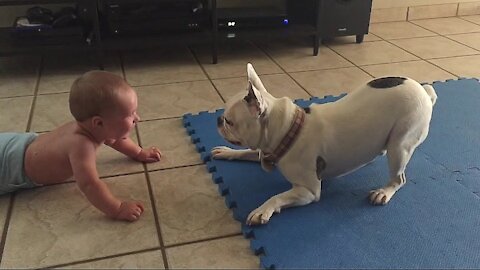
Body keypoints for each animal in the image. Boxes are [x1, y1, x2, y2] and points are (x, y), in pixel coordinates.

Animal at [212, 63, 436, 226]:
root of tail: (424, 91)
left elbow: (277, 197)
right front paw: (227, 152)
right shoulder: (264, 151)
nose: (218, 120)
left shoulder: (308, 191)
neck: (287, 130)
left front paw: (262, 210)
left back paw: (384, 191)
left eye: (230, 121)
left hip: (400, 145)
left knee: (399, 178)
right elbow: (247, 152)